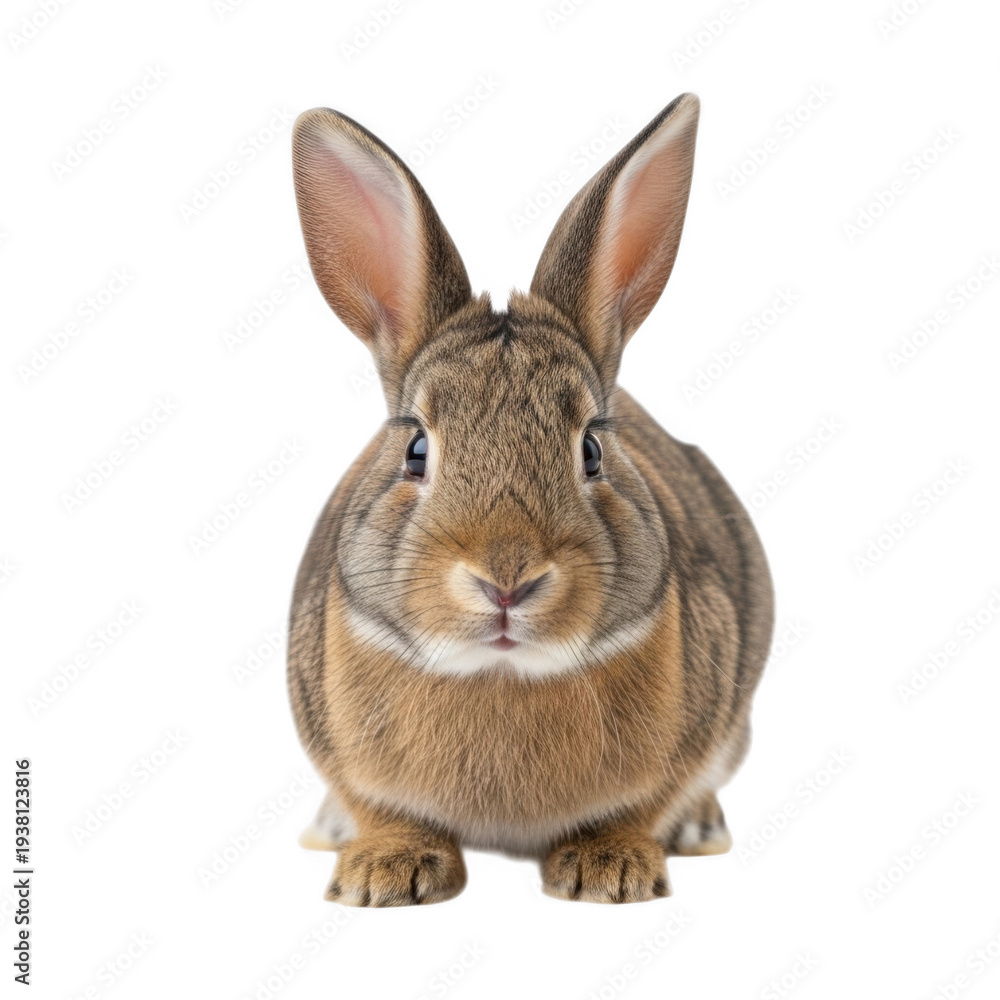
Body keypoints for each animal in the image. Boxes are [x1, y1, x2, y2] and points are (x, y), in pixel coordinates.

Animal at [287, 93, 774, 906]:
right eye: (416, 450)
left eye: (592, 451)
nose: (507, 578)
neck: (501, 675)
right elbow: (378, 806)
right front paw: (384, 872)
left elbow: (640, 807)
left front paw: (611, 870)